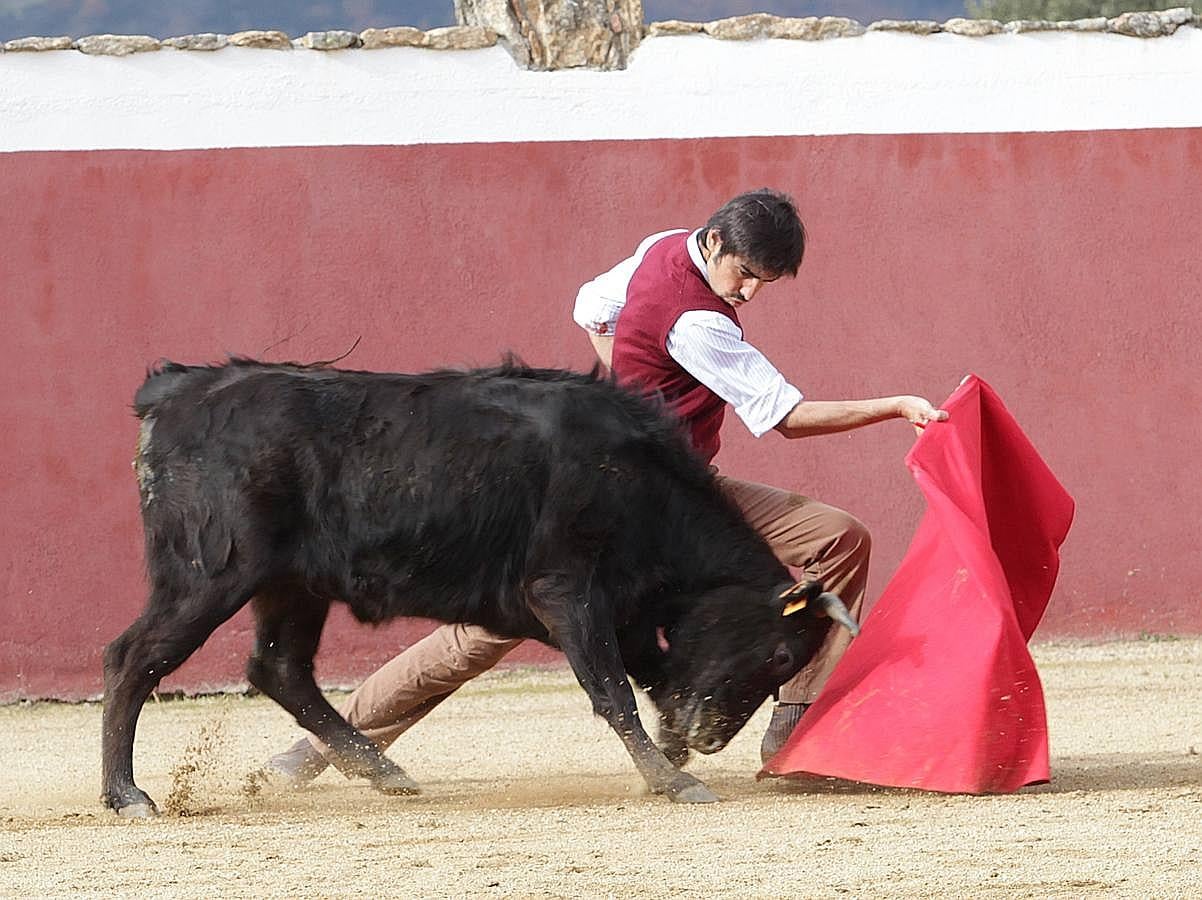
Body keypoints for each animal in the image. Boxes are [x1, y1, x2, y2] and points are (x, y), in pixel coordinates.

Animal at [103, 360, 855, 812]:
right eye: (781, 654)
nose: (710, 738)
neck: (642, 484)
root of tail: (179, 391)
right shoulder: (567, 592)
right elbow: (613, 690)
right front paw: (674, 779)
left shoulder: (625, 614)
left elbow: (650, 678)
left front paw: (669, 763)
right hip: (209, 577)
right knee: (134, 659)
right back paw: (126, 795)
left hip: (293, 585)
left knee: (279, 667)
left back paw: (384, 772)